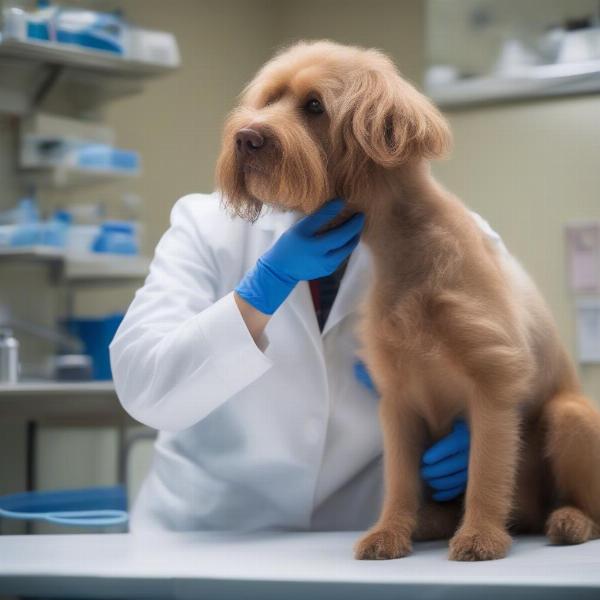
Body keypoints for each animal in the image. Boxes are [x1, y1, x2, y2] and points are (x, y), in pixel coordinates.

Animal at [214, 42, 600, 564]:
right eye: (270, 99)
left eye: (314, 106)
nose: (245, 137)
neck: (408, 251)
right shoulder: (396, 400)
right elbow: (398, 480)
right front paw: (389, 532)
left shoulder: (494, 386)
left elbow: (485, 470)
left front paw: (480, 536)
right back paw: (432, 522)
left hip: (570, 416)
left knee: (582, 500)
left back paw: (569, 520)